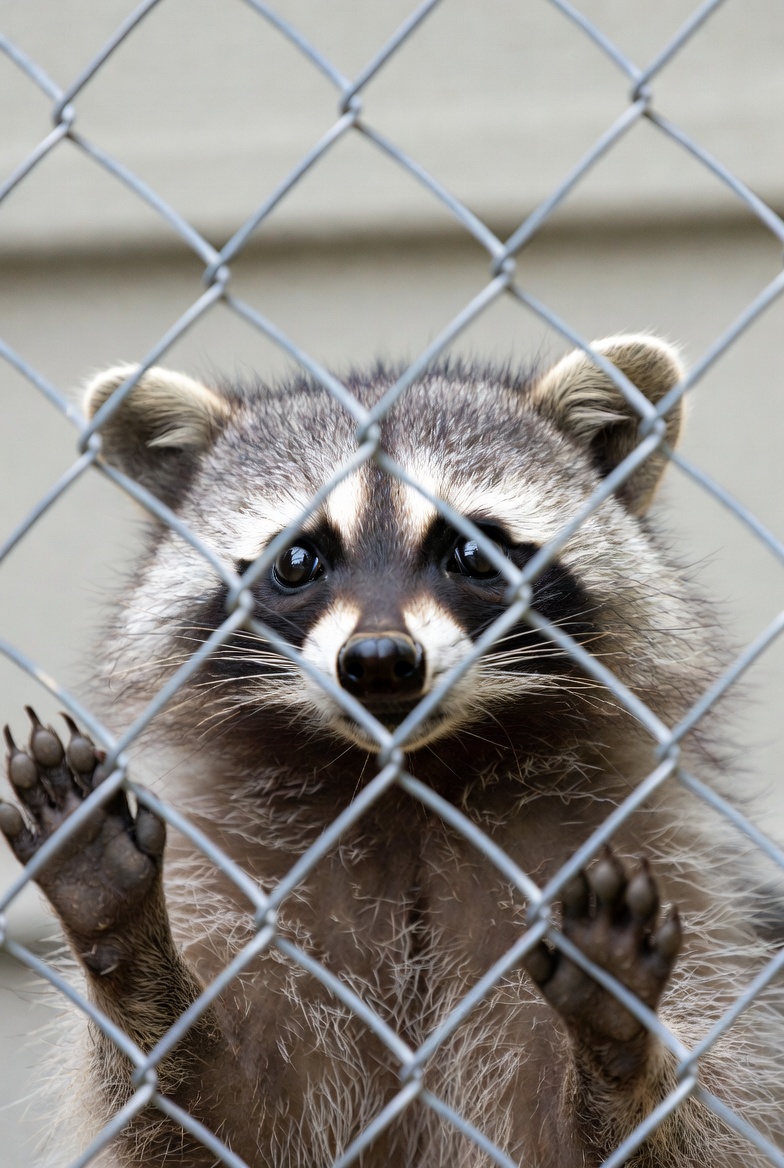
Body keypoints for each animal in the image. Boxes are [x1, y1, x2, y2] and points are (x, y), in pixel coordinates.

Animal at [1, 336, 783, 1167]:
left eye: (472, 551)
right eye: (298, 560)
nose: (379, 660)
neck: (409, 779)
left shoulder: (680, 884)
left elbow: (676, 1132)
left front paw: (622, 1054)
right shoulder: (239, 888)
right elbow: (215, 1119)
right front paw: (119, 940)